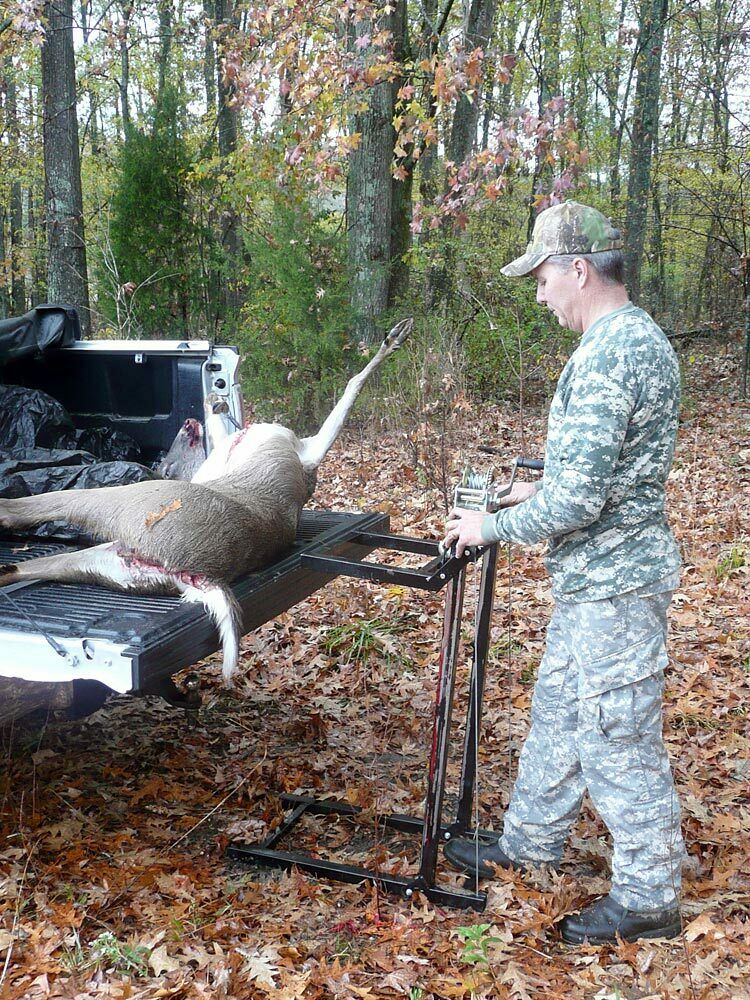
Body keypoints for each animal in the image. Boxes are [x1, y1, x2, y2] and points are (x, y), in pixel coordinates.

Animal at [0, 318, 413, 682]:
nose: (188, 422)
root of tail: (203, 577)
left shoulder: (293, 448)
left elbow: (350, 387)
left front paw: (395, 336)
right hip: (111, 558)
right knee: (25, 562)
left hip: (120, 510)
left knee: (35, 511)